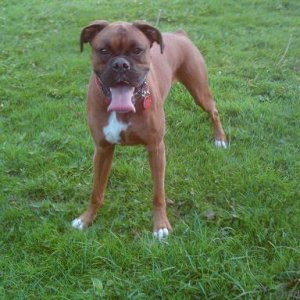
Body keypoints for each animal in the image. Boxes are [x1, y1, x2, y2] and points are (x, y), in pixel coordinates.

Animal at [72, 19, 227, 239]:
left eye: (138, 50)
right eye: (103, 50)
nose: (121, 64)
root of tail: (180, 35)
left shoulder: (156, 149)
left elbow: (158, 194)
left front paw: (161, 225)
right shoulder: (102, 150)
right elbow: (96, 191)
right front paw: (86, 219)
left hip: (199, 91)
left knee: (213, 111)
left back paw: (220, 139)